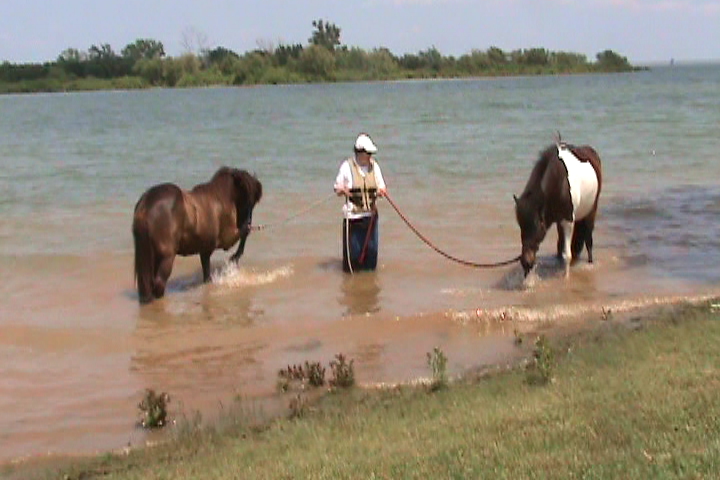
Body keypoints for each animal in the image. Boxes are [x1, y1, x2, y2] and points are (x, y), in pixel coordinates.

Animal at [132, 168, 262, 304]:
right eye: (249, 201)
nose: (247, 220)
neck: (222, 197)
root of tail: (146, 205)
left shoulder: (205, 250)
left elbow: (207, 275)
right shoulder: (227, 238)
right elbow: (245, 234)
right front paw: (235, 257)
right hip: (166, 257)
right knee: (159, 283)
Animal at [512, 139, 600, 278]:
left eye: (536, 227)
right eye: (520, 226)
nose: (526, 263)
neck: (558, 183)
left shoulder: (568, 221)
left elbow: (567, 255)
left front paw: (566, 278)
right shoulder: (559, 221)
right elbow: (560, 250)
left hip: (591, 212)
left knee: (588, 241)